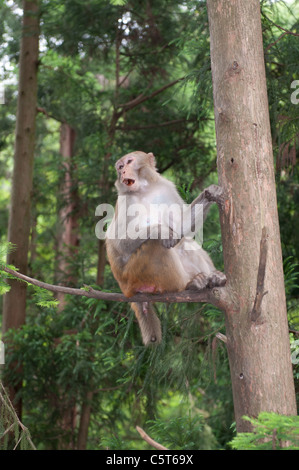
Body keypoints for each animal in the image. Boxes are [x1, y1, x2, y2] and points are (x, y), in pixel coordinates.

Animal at [106, 151, 226, 346]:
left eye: (129, 162)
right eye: (120, 166)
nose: (122, 171)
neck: (144, 190)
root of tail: (125, 289)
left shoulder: (166, 188)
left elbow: (181, 227)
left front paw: (210, 193)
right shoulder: (125, 201)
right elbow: (118, 243)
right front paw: (160, 230)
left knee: (185, 242)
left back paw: (212, 278)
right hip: (135, 274)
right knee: (157, 245)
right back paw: (188, 285)